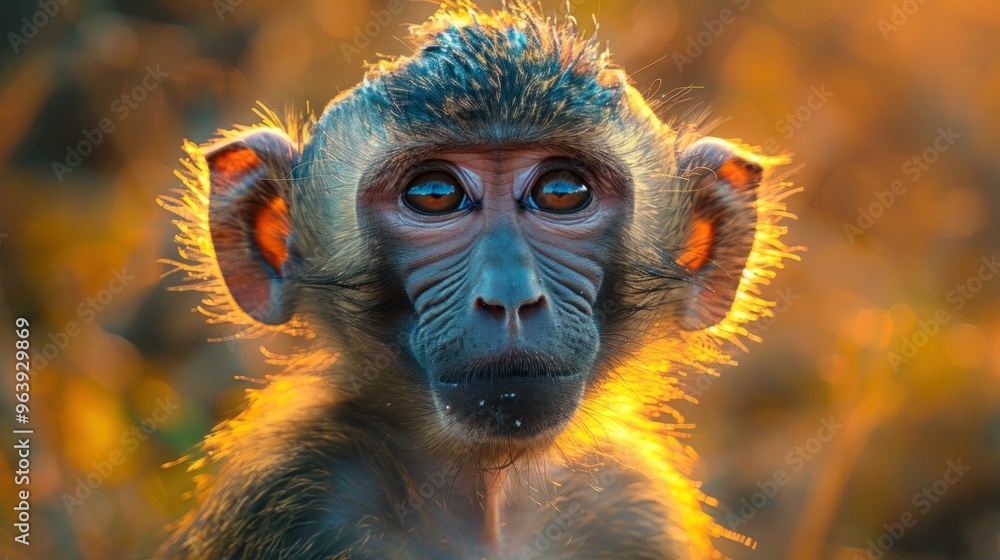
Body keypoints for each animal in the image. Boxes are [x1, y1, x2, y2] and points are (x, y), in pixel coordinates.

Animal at [157, 2, 798, 559]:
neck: (489, 498)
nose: (510, 298)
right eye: (435, 194)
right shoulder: (298, 502)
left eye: (561, 191)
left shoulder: (633, 510)